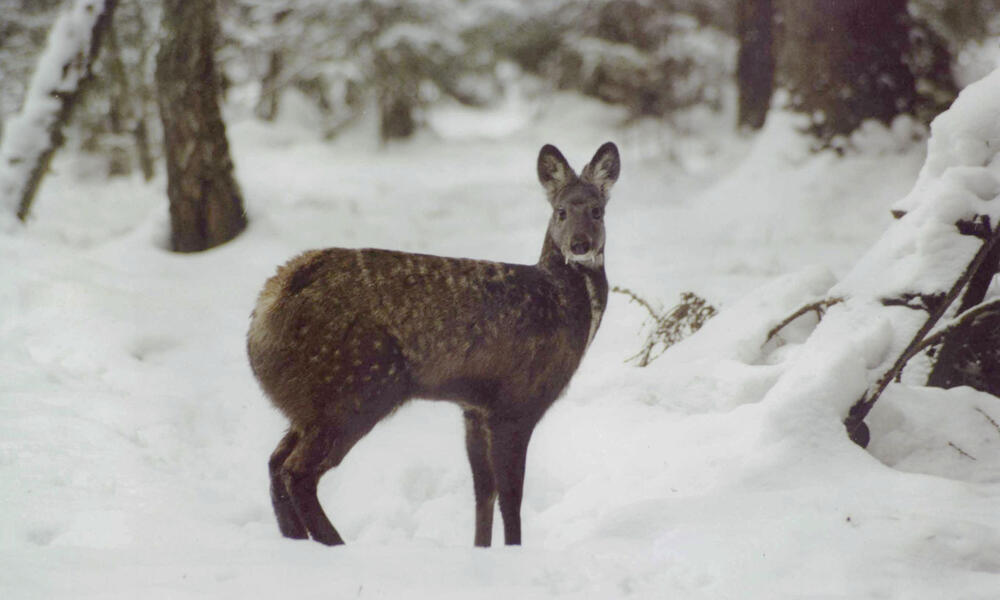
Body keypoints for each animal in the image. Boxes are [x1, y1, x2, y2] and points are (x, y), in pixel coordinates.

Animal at [247, 142, 620, 547]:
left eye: (597, 210)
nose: (580, 244)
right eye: (560, 211)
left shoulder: (474, 408)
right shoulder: (517, 399)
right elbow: (511, 495)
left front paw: (481, 550)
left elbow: (484, 490)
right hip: (355, 386)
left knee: (274, 463)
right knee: (296, 472)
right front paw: (513, 551)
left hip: (309, 402)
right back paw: (337, 546)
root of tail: (266, 309)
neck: (560, 303)